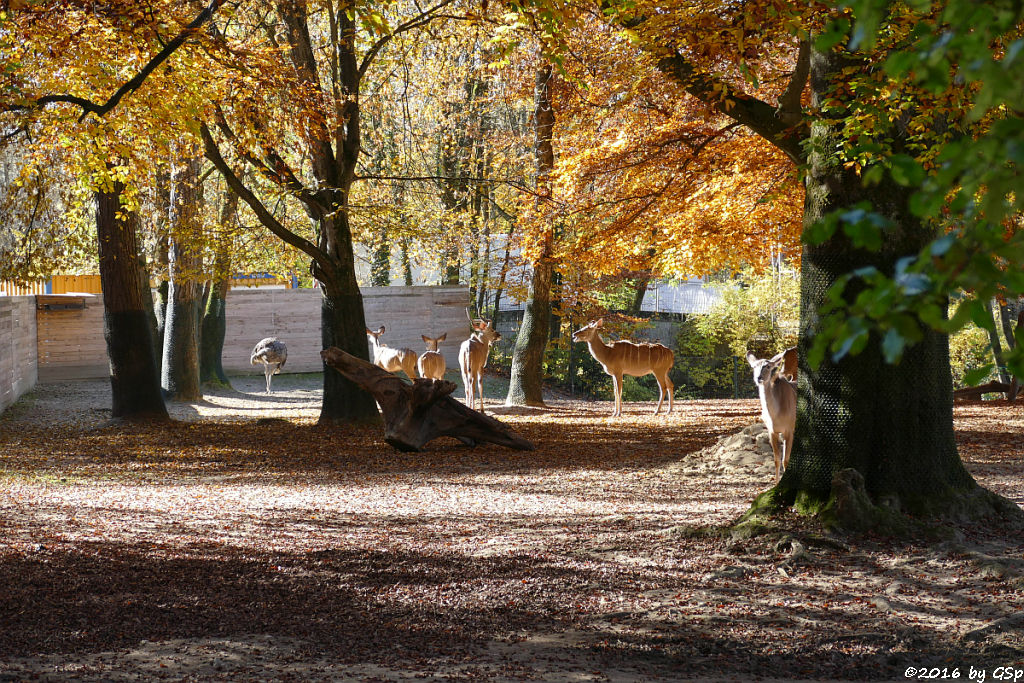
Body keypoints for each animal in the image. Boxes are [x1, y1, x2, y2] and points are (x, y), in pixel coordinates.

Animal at [745, 350, 798, 483]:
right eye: (754, 366)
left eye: (768, 366)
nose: (758, 378)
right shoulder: (772, 431)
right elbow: (776, 460)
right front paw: (776, 483)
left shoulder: (789, 430)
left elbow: (785, 460)